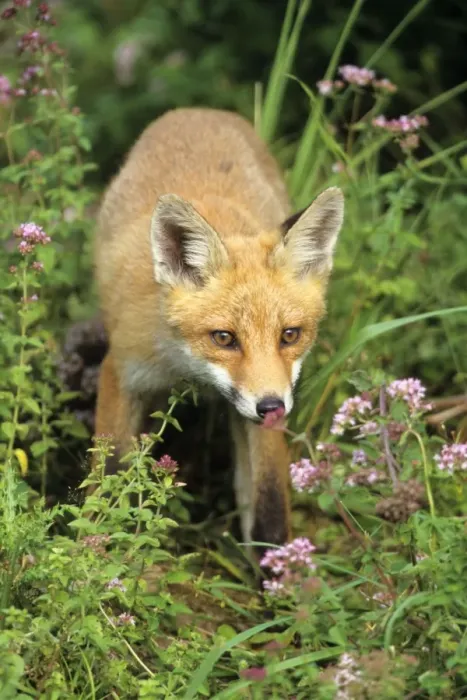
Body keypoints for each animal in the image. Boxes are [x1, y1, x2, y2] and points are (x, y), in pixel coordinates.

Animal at [93, 107, 344, 549]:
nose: (272, 407)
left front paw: (279, 566)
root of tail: (197, 111)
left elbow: (268, 507)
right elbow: (106, 483)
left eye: (290, 335)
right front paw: (95, 547)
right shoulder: (120, 372)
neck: (184, 368)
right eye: (224, 338)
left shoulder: (264, 409)